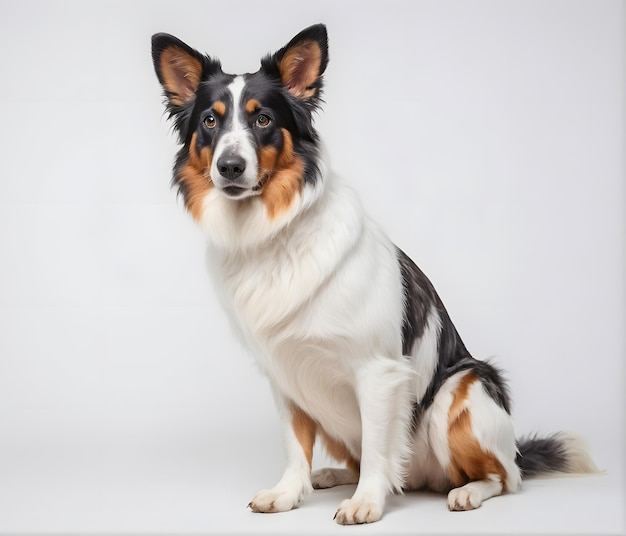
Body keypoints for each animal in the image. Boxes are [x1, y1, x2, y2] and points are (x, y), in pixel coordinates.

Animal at [151, 24, 596, 524]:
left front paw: (366, 501)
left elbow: (380, 446)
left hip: (459, 393)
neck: (274, 235)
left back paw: (467, 491)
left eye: (262, 119)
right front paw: (288, 492)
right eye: (210, 122)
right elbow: (295, 444)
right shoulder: (284, 375)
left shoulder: (378, 371)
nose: (230, 167)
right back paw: (331, 475)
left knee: (504, 476)